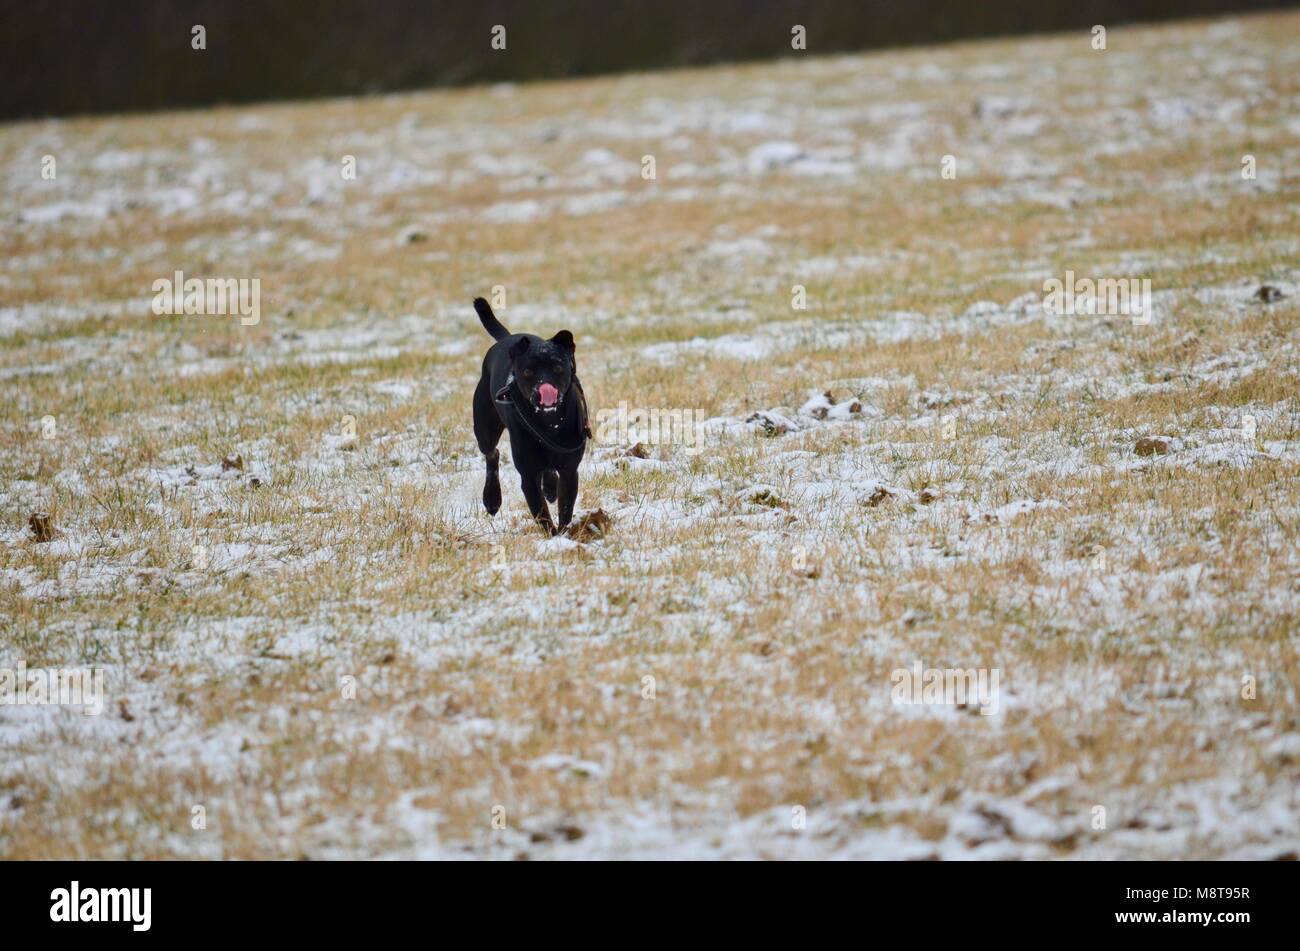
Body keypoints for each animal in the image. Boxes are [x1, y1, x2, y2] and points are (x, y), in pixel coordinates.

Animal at [473, 297, 590, 535]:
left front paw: (563, 533)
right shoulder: (527, 475)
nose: (544, 389)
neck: (549, 422)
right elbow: (541, 512)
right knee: (492, 453)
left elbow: (565, 507)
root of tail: (507, 338)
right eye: (527, 372)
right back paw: (492, 499)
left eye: (558, 367)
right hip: (485, 429)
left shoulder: (569, 470)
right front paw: (553, 537)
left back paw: (550, 488)